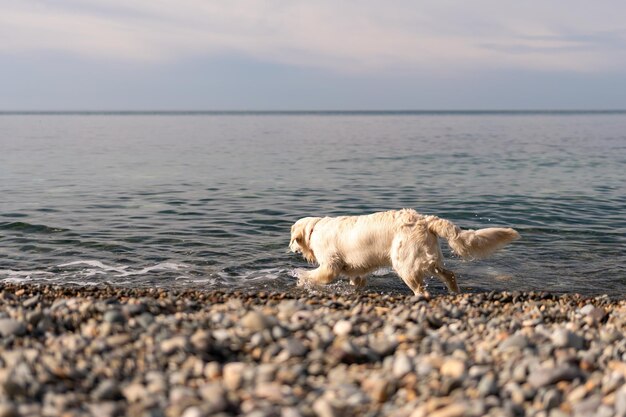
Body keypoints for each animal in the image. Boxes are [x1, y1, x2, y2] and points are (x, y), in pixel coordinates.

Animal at [290, 208, 520, 296]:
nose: (290, 247)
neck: (314, 229)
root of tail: (424, 220)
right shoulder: (356, 270)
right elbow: (357, 280)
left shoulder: (330, 266)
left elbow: (317, 274)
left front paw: (301, 278)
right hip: (429, 258)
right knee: (449, 274)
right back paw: (454, 292)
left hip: (405, 263)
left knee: (421, 288)